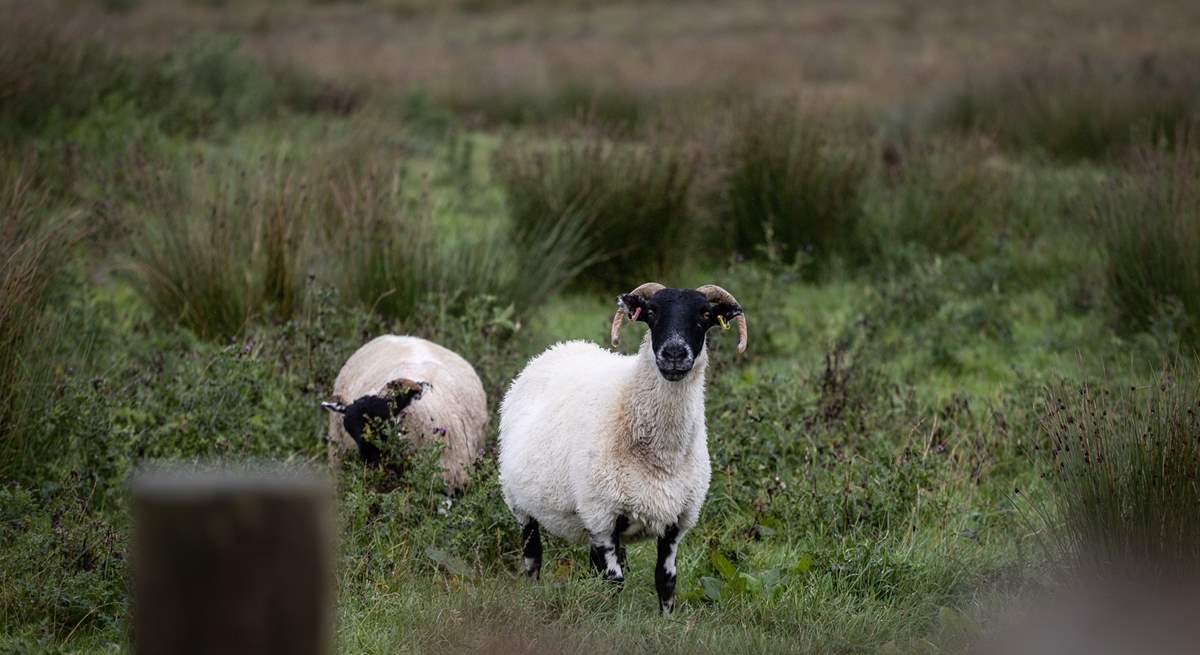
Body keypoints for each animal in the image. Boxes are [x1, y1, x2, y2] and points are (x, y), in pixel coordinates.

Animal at [494, 280, 739, 611]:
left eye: (704, 314)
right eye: (651, 312)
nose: (674, 354)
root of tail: (562, 347)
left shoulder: (676, 522)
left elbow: (666, 582)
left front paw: (666, 618)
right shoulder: (602, 516)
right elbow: (613, 582)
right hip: (522, 505)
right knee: (533, 557)